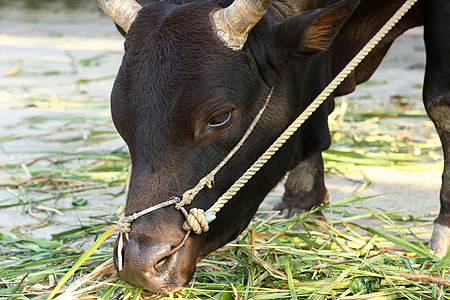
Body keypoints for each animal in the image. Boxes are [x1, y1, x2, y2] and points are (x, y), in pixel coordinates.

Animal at [93, 0, 448, 294]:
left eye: (219, 117)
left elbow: (438, 102)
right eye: (118, 116)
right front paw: (303, 201)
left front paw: (443, 231)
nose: (139, 263)